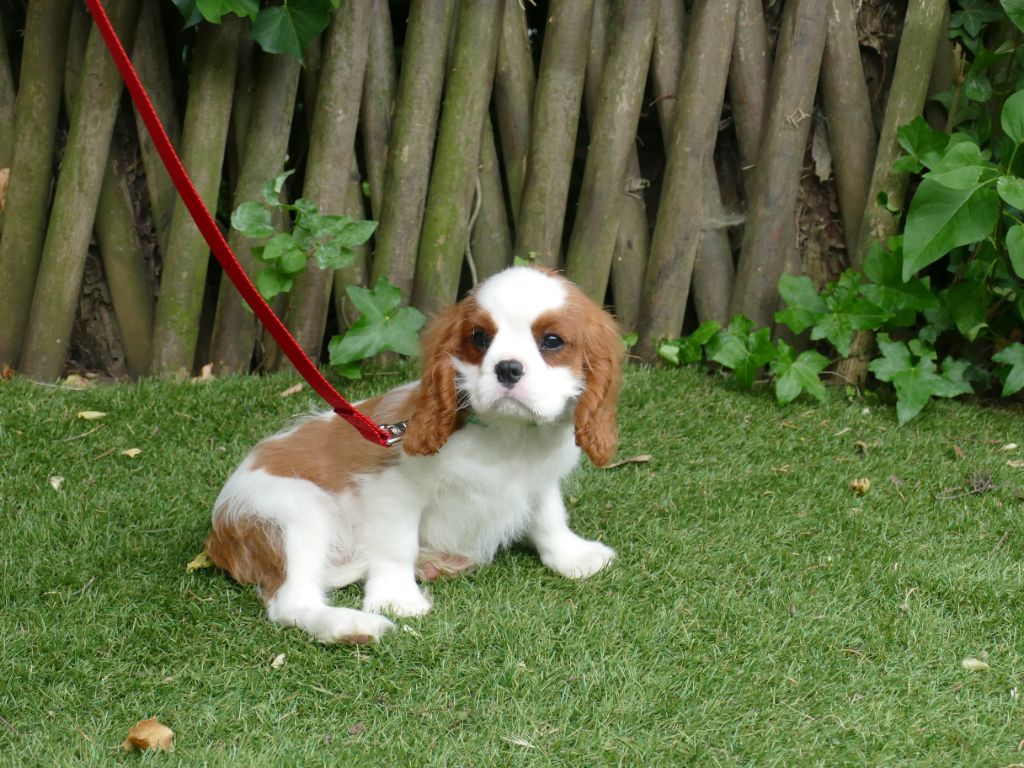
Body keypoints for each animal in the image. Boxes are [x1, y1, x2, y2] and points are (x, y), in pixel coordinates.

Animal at [205, 266, 624, 644]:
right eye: (479, 338)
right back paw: (351, 627)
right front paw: (396, 599)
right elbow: (396, 545)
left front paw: (573, 556)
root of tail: (217, 534)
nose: (507, 368)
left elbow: (549, 517)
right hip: (295, 512)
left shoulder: (541, 480)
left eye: (552, 341)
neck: (509, 434)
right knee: (292, 602)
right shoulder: (393, 490)